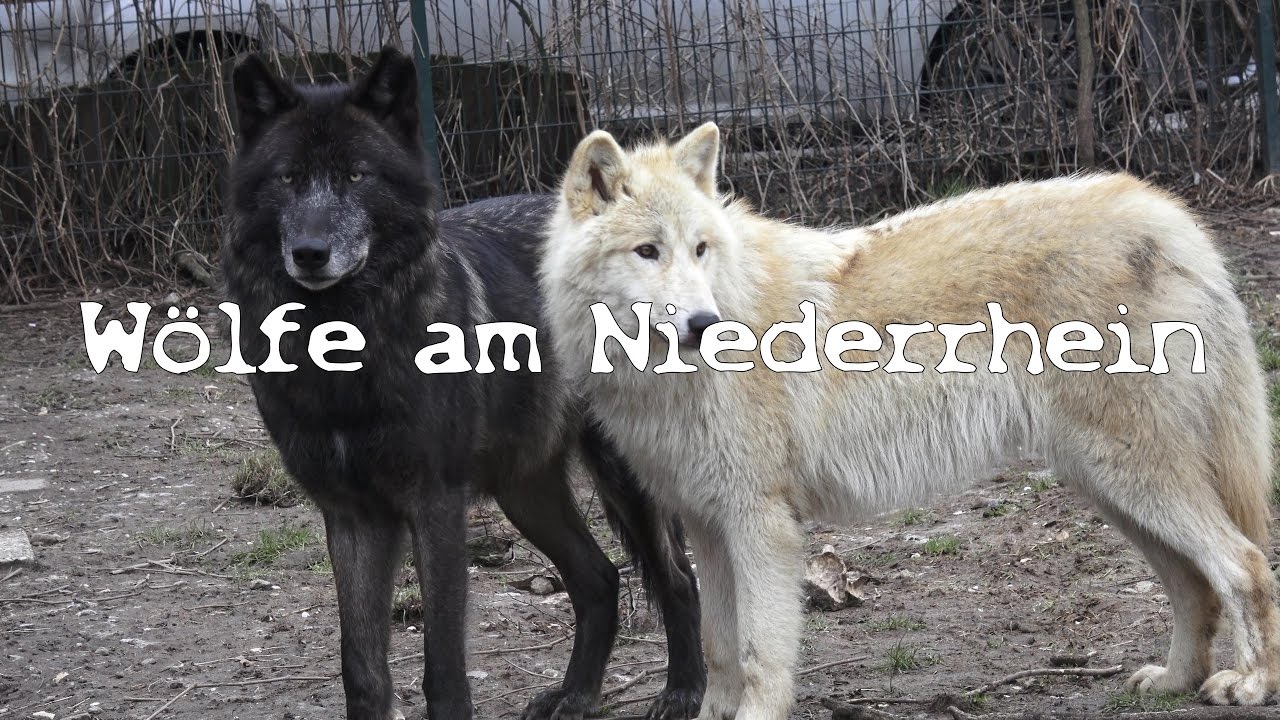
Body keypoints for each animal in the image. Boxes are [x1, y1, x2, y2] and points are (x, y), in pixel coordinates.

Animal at [222, 49, 705, 720]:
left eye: (357, 176)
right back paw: (576, 694)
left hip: (621, 475)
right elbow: (362, 668)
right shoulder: (350, 515)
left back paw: (684, 690)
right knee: (600, 580)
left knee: (677, 576)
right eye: (289, 178)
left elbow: (444, 668)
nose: (310, 253)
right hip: (525, 490)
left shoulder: (436, 504)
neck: (344, 345)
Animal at [540, 122, 1276, 719]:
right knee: (1194, 584)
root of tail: (1167, 212)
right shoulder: (707, 525)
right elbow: (720, 648)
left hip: (1130, 476)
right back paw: (1177, 681)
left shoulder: (761, 523)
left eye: (698, 249)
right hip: (1109, 487)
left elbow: (760, 655)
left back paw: (1250, 685)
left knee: (1242, 563)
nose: (703, 322)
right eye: (647, 251)